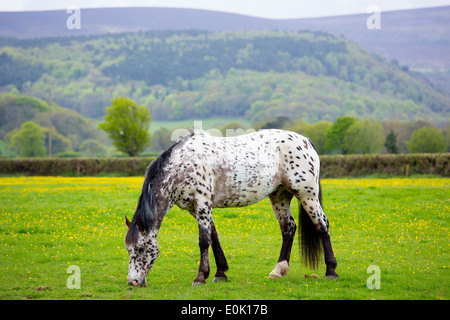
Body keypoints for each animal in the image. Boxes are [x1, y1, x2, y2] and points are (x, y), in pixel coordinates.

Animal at [124, 129, 338, 286]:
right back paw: (278, 271)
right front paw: (220, 273)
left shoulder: (202, 204)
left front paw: (200, 277)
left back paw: (331, 271)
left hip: (307, 195)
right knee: (288, 229)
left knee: (322, 225)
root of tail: (305, 141)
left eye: (141, 248)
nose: (133, 282)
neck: (182, 165)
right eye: (128, 250)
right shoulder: (196, 209)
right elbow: (214, 237)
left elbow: (204, 241)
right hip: (280, 196)